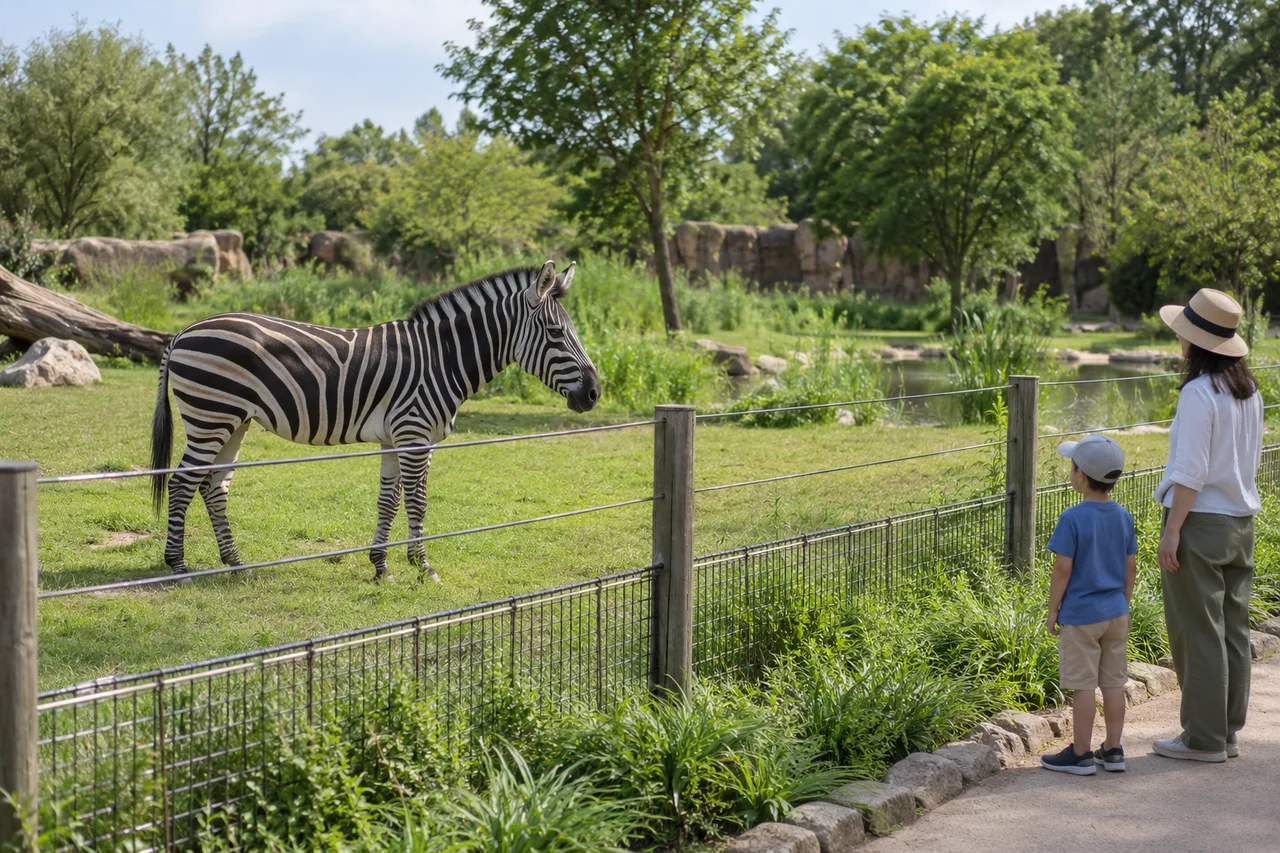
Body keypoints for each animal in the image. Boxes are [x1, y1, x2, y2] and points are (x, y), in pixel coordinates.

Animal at [150, 260, 600, 583]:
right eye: (556, 333)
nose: (595, 392)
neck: (443, 359)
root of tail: (183, 332)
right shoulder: (415, 434)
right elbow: (418, 500)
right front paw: (423, 566)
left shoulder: (395, 437)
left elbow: (389, 500)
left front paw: (381, 566)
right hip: (210, 414)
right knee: (182, 483)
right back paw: (178, 566)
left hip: (235, 420)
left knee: (213, 486)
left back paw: (235, 562)